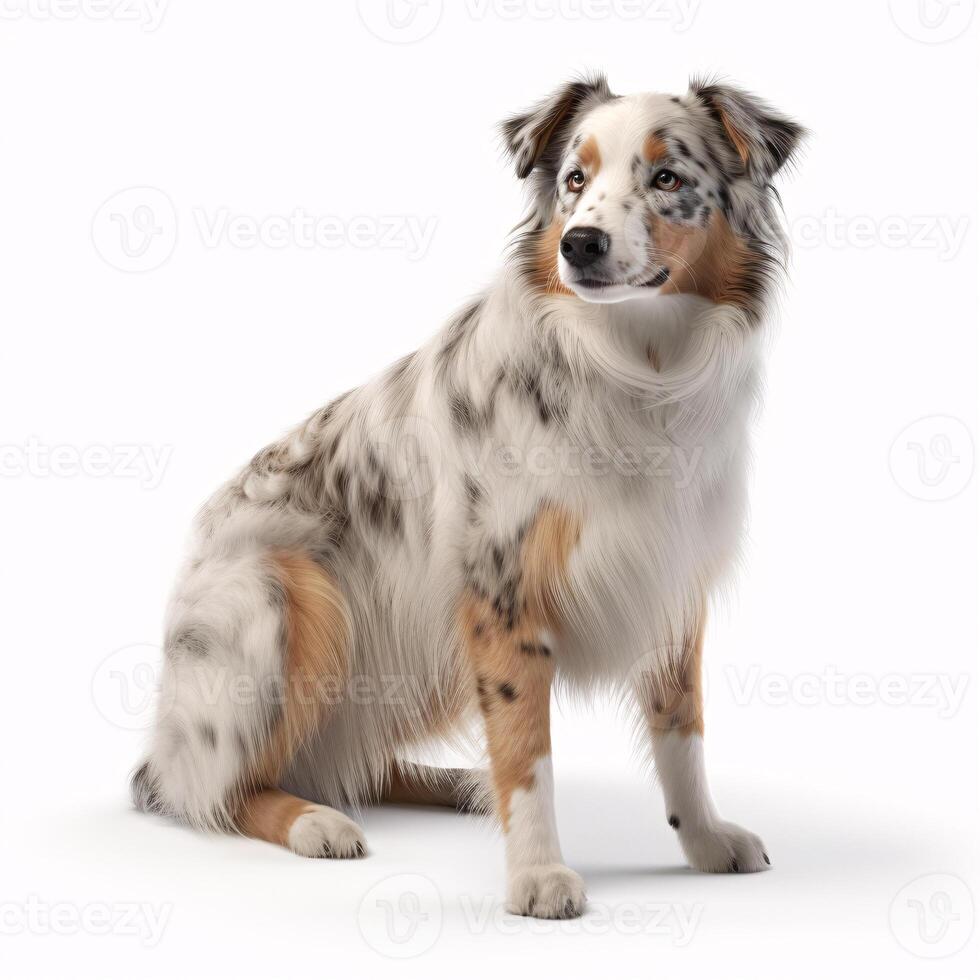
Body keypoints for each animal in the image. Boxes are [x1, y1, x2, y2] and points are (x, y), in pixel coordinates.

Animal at [130, 74, 804, 920]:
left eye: (667, 178)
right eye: (574, 180)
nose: (578, 243)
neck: (637, 366)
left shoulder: (671, 580)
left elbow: (682, 730)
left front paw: (705, 839)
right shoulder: (501, 593)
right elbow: (527, 751)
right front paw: (538, 875)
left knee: (349, 759)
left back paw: (453, 784)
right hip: (286, 606)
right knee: (217, 788)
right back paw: (316, 821)